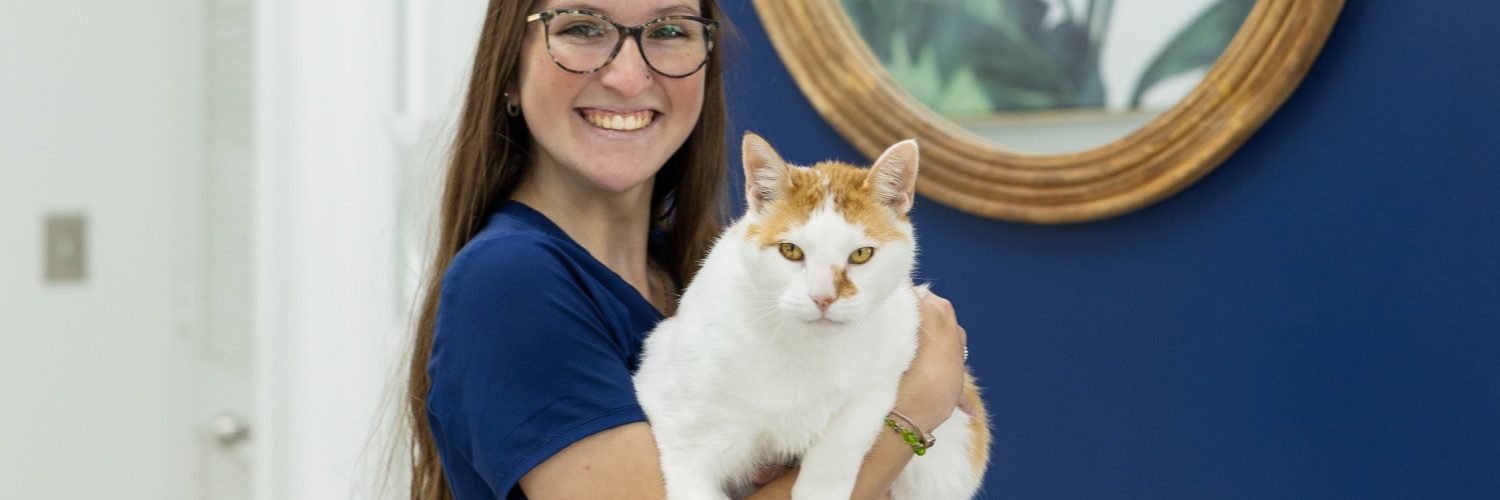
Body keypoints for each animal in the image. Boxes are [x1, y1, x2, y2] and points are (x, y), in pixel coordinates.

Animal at [639, 133, 990, 498]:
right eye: (790, 250)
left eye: (861, 254)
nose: (823, 297)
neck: (805, 349)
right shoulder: (677, 418)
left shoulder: (895, 348)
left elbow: (846, 430)